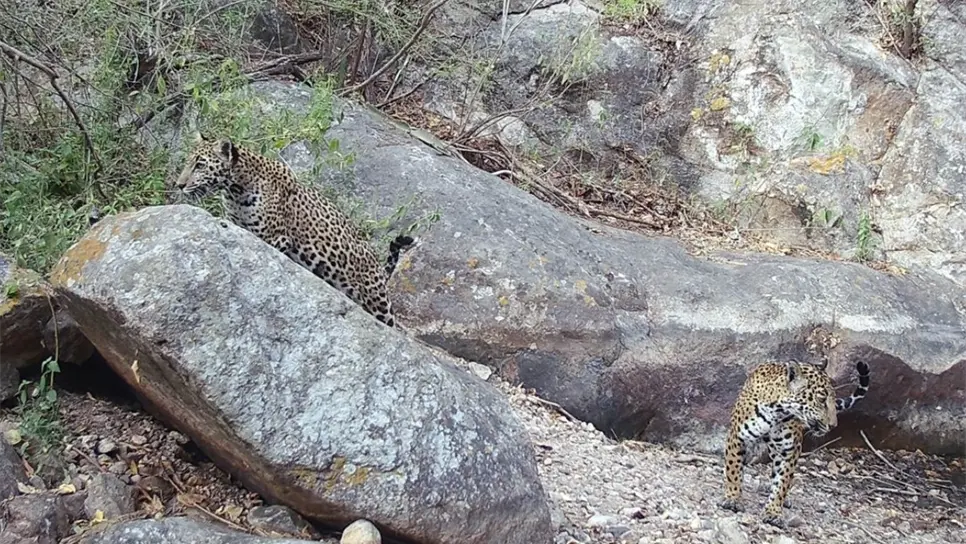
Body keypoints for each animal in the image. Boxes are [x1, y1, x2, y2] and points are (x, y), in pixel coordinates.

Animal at [173, 133, 416, 328]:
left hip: (378, 301)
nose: (179, 184)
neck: (236, 190)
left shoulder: (275, 239)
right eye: (188, 162)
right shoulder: (236, 224)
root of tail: (377, 265)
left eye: (200, 165)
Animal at [719, 357, 871, 527]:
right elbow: (734, 471)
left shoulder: (789, 449)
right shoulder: (737, 437)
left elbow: (782, 481)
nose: (833, 425)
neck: (776, 410)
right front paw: (733, 498)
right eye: (821, 399)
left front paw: (773, 511)